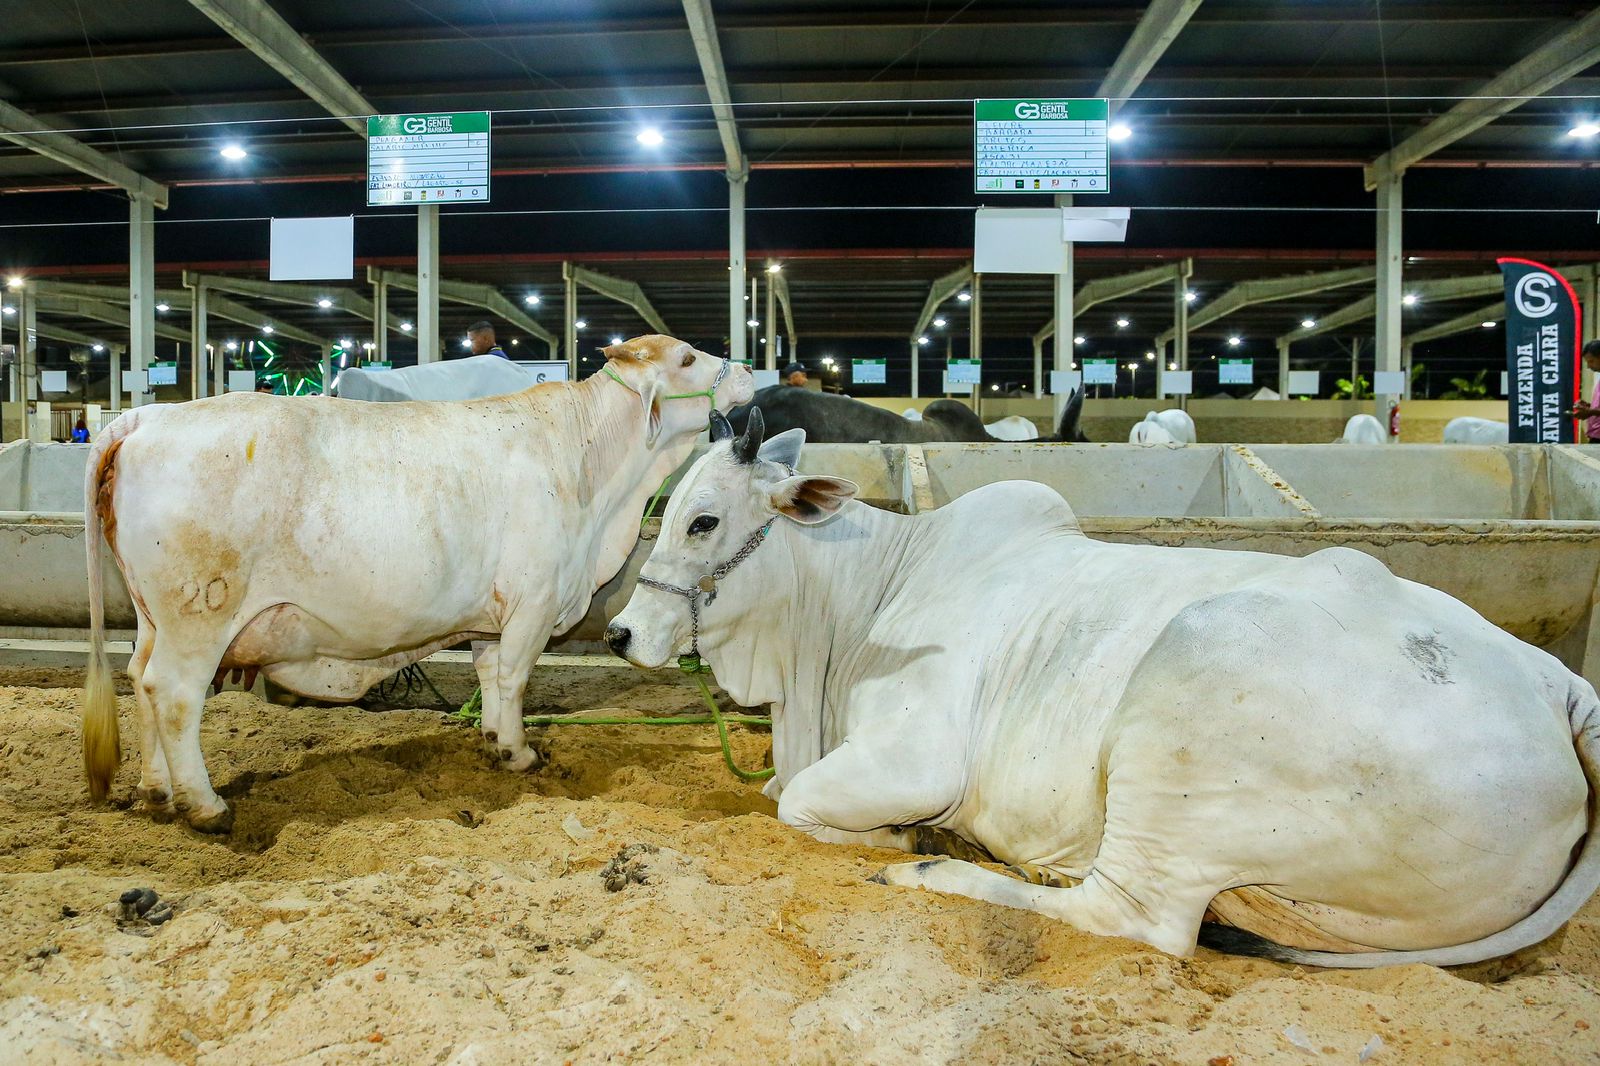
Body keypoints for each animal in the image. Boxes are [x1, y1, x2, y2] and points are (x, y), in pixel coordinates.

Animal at [75, 332, 748, 832]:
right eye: (688, 358)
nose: (745, 369)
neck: (598, 480)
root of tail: (145, 418)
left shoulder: (493, 614)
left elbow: (490, 676)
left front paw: (493, 741)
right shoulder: (533, 599)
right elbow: (516, 677)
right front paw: (520, 753)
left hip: (151, 614)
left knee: (139, 679)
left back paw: (157, 792)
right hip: (199, 611)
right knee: (174, 693)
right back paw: (204, 806)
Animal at [601, 406, 1600, 960]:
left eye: (701, 520)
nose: (617, 632)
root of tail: (1558, 686)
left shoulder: (914, 756)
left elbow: (797, 803)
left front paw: (896, 838)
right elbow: (782, 791)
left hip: (1191, 701)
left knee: (1137, 918)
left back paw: (940, 871)